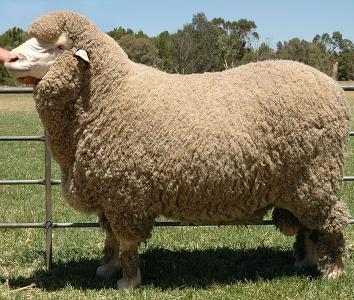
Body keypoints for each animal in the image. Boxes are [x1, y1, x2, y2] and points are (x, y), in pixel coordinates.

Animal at [4, 11, 352, 288]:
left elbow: (127, 242)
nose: (8, 57)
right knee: (309, 225)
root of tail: (332, 87)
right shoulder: (109, 193)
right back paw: (306, 262)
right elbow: (110, 237)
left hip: (314, 177)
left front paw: (128, 282)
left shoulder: (127, 192)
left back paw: (333, 270)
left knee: (333, 219)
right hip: (300, 184)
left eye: (58, 46)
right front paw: (107, 268)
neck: (108, 95)